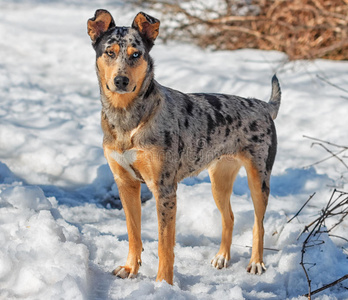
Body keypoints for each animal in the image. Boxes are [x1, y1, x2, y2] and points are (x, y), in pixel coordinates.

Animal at [86, 9, 280, 284]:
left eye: (136, 54)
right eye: (109, 52)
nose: (121, 80)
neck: (126, 118)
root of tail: (263, 106)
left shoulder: (164, 189)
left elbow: (164, 245)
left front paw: (163, 284)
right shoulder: (125, 183)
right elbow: (133, 233)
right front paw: (130, 268)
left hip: (259, 178)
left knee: (258, 223)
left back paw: (256, 262)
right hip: (219, 180)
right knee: (229, 217)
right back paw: (222, 257)